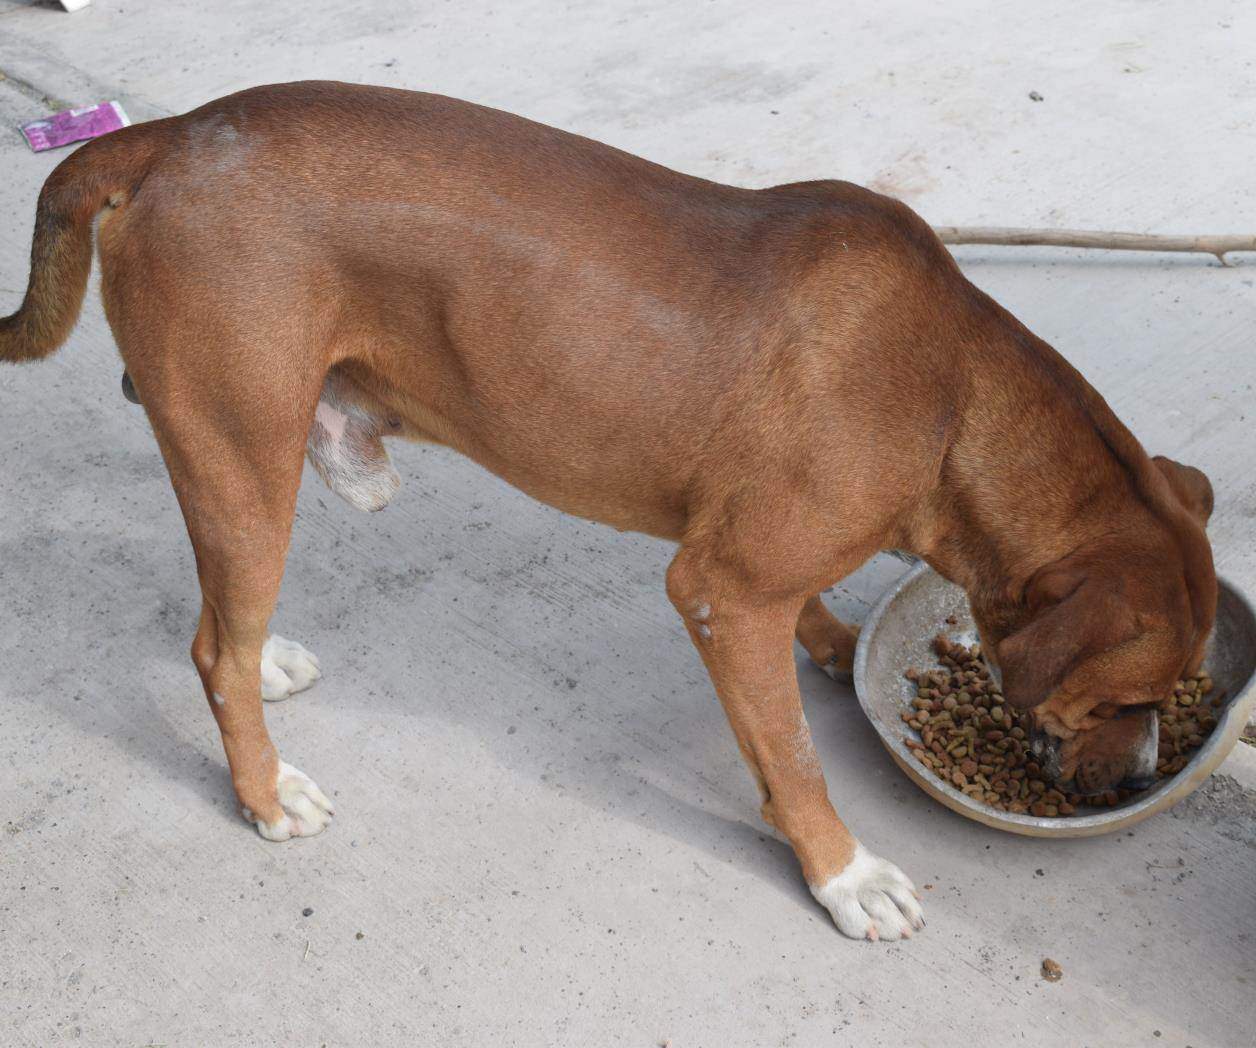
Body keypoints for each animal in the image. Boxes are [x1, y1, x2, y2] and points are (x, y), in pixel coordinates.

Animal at [2, 83, 1215, 939]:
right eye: (1124, 700)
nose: (1144, 776)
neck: (955, 396)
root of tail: (167, 135)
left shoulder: (761, 562)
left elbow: (806, 619)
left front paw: (831, 642)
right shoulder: (723, 593)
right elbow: (791, 759)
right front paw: (841, 872)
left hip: (236, 466)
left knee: (224, 626)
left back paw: (269, 666)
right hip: (244, 459)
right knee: (213, 647)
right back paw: (263, 790)